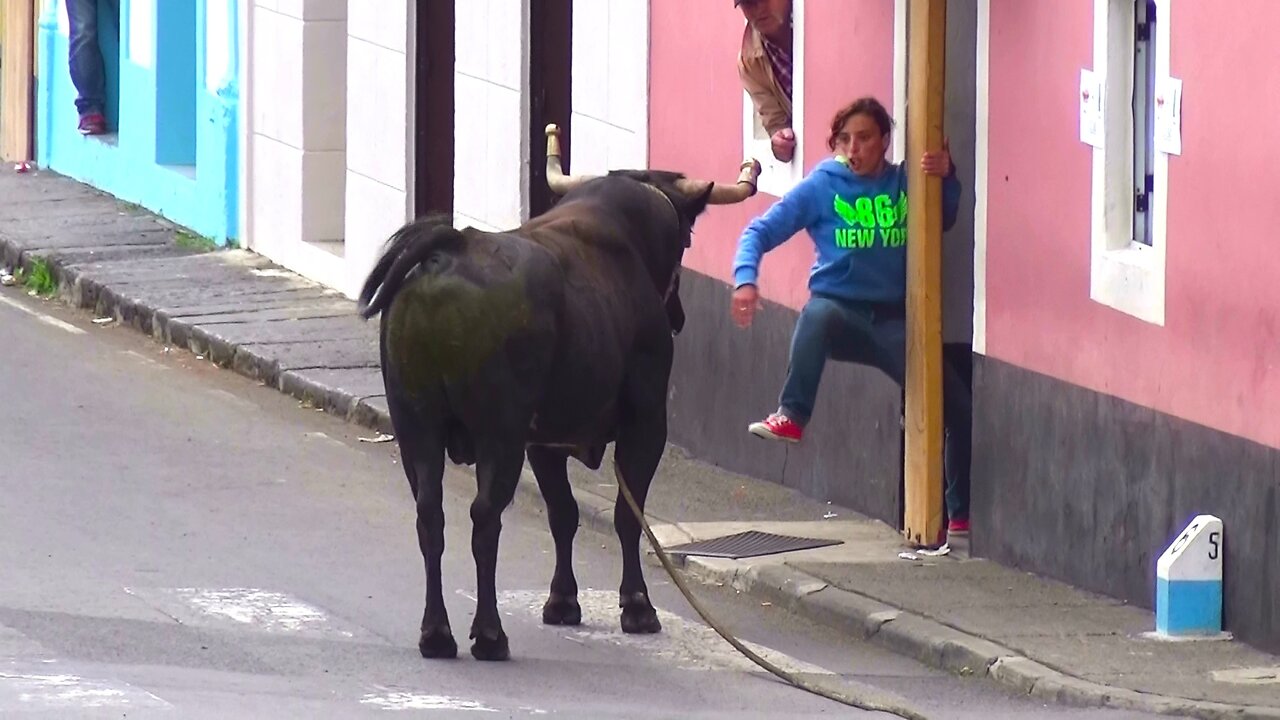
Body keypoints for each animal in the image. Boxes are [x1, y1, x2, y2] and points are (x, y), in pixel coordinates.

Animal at [355, 126, 757, 661]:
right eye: (687, 237)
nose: (679, 316)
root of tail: (452, 247)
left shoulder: (543, 439)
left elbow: (563, 513)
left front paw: (563, 600)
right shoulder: (646, 423)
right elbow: (626, 516)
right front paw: (637, 606)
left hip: (415, 427)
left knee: (430, 517)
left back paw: (436, 633)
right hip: (498, 436)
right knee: (484, 519)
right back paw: (489, 634)